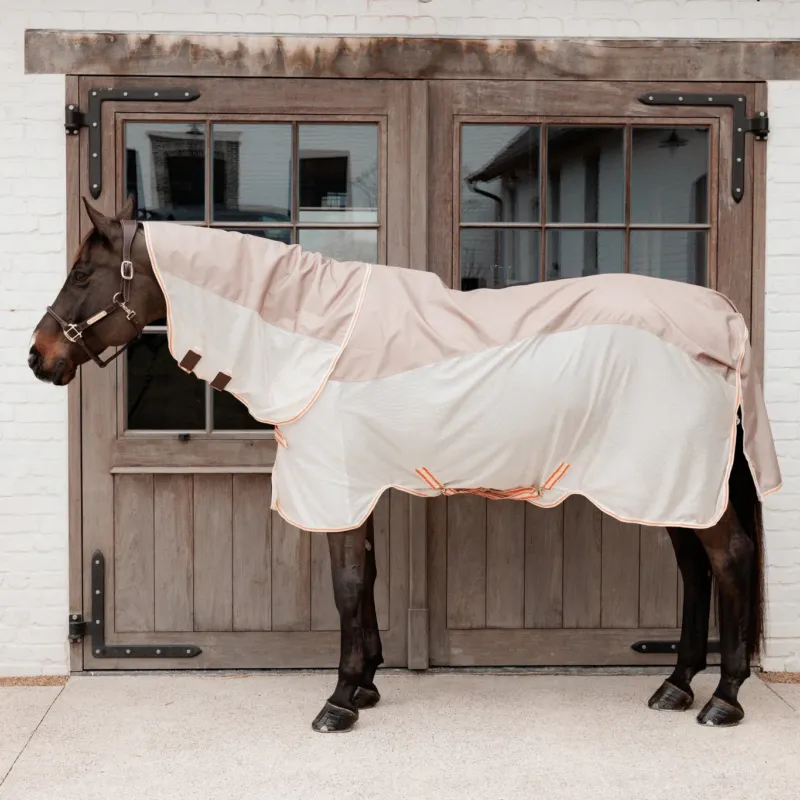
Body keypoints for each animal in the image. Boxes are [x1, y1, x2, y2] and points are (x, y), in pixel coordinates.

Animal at [29, 195, 778, 731]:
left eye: (81, 273)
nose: (39, 356)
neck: (315, 338)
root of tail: (723, 316)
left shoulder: (335, 485)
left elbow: (346, 584)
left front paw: (338, 701)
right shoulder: (354, 486)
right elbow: (366, 578)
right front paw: (366, 682)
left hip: (678, 480)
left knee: (730, 558)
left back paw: (724, 697)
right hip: (675, 485)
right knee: (696, 572)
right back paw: (676, 686)